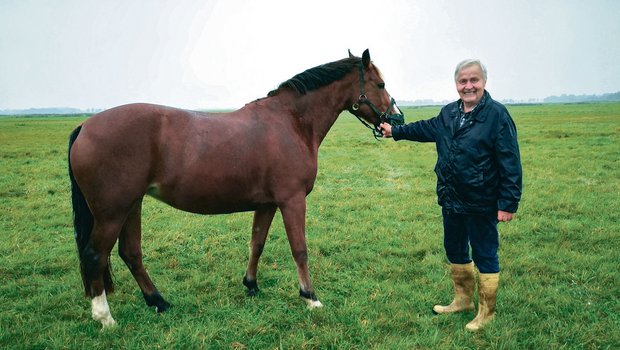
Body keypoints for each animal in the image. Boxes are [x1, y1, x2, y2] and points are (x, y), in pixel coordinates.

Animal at [69, 47, 402, 326]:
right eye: (380, 85)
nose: (396, 120)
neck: (291, 122)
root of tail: (86, 126)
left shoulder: (267, 203)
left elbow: (257, 243)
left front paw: (251, 285)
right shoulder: (292, 200)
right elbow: (300, 249)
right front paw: (310, 297)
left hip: (132, 205)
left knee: (131, 253)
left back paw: (158, 302)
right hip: (112, 212)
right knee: (95, 256)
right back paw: (105, 318)